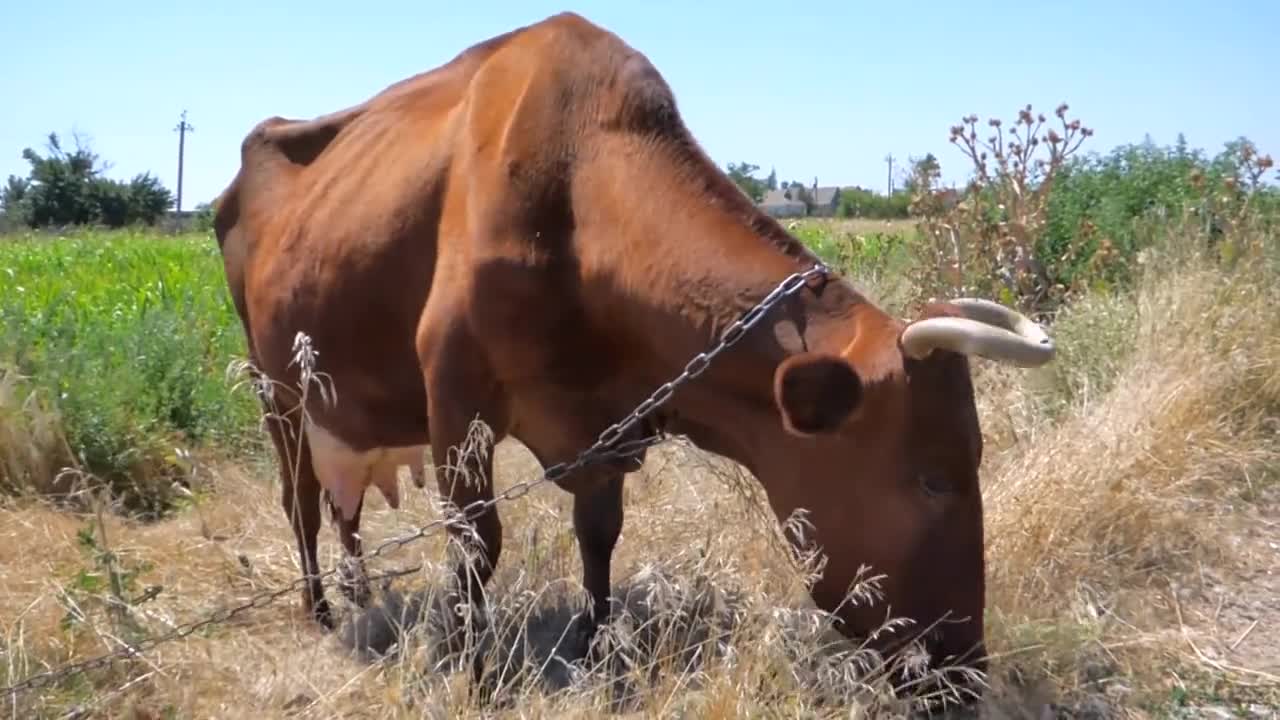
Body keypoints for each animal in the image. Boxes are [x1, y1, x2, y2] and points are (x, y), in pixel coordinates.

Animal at [209, 9, 1049, 681]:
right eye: (933, 478)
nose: (966, 669)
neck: (578, 199)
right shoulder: (455, 396)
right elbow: (477, 545)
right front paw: (471, 667)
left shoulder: (607, 426)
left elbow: (598, 536)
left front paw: (595, 646)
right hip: (275, 389)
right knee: (302, 502)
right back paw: (323, 612)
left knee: (342, 504)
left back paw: (359, 596)